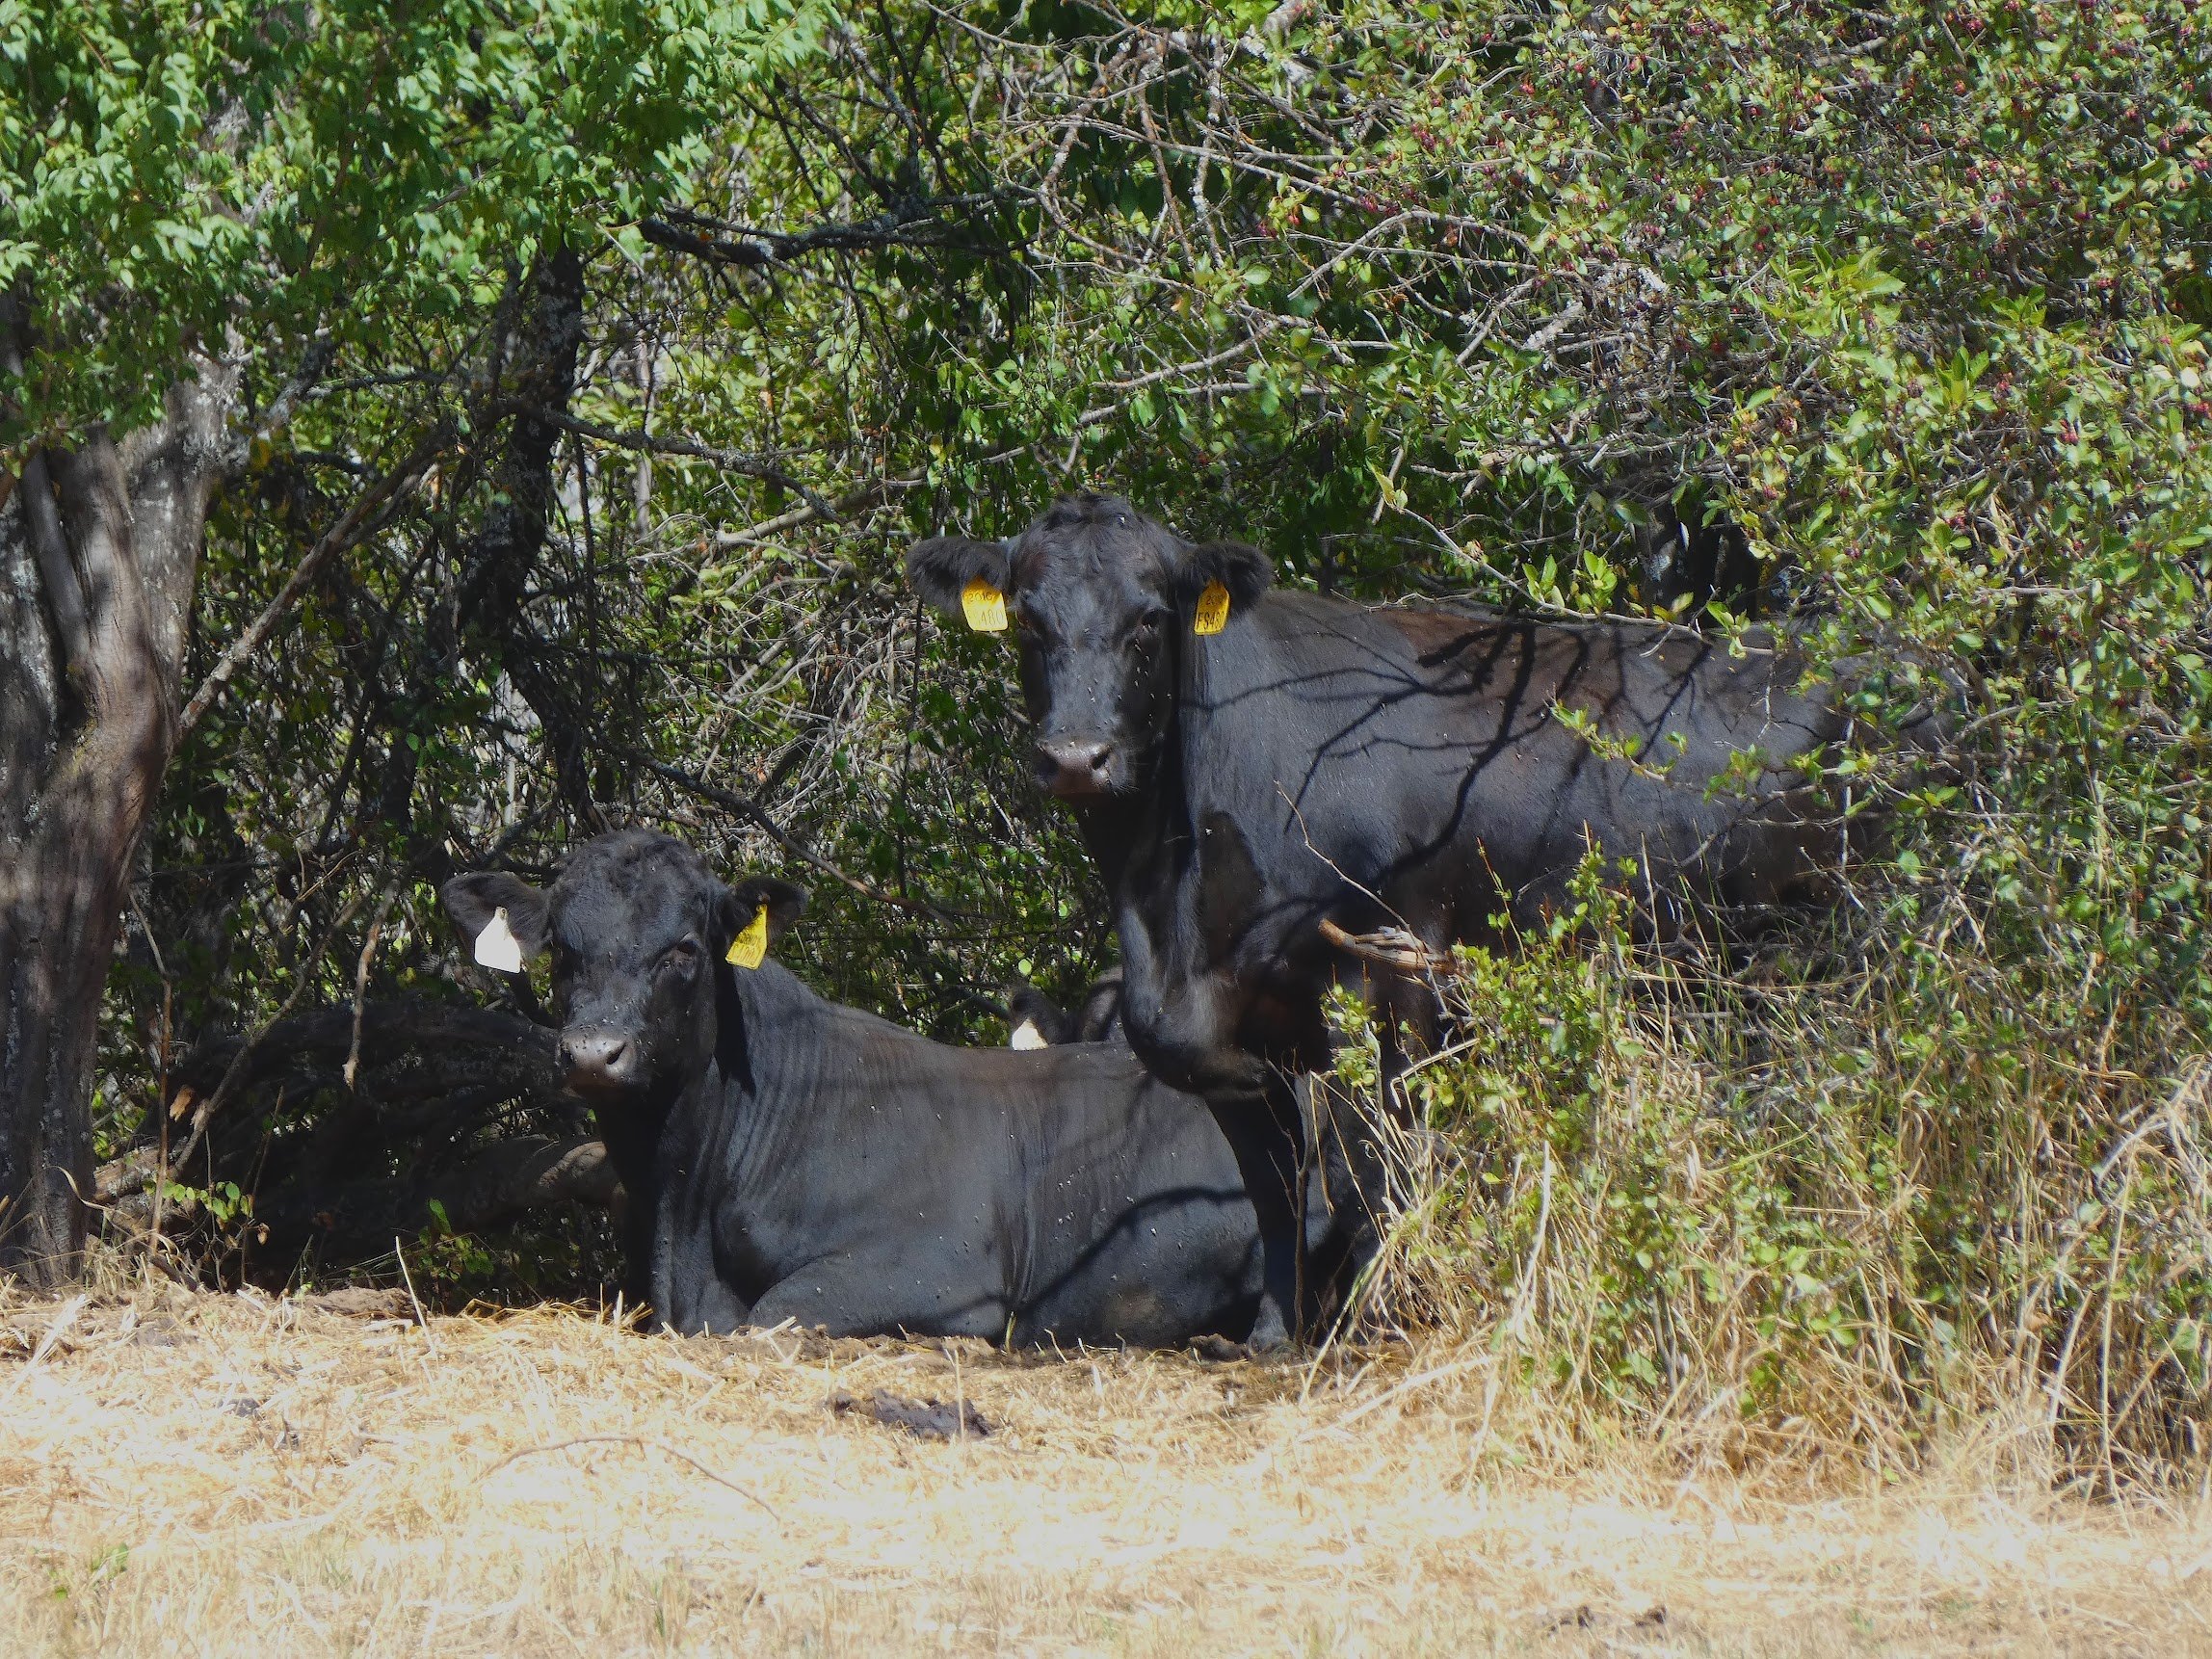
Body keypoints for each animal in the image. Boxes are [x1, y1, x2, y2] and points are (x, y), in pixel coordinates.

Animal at [908, 492, 1940, 1339]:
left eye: (1150, 621)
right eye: (1028, 623)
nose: (1077, 758)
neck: (1170, 918)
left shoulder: (1389, 978)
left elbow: (1378, 1167)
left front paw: (1372, 1322)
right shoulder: (1225, 1032)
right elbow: (1274, 1185)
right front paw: (1277, 1333)